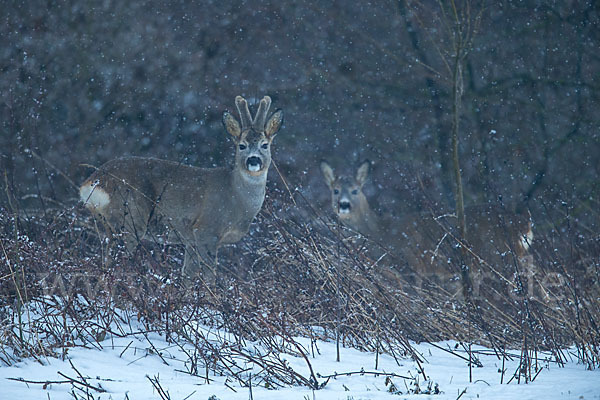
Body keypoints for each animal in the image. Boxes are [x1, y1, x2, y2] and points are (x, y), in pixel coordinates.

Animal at [79, 95, 284, 282]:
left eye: (265, 145)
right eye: (241, 145)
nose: (253, 160)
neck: (237, 198)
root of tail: (93, 182)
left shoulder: (189, 238)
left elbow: (188, 275)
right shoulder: (206, 230)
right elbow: (209, 275)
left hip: (108, 224)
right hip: (130, 219)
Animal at [322, 161, 532, 282]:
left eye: (355, 190)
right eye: (335, 190)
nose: (344, 205)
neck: (381, 233)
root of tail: (524, 223)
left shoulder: (414, 266)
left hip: (500, 257)